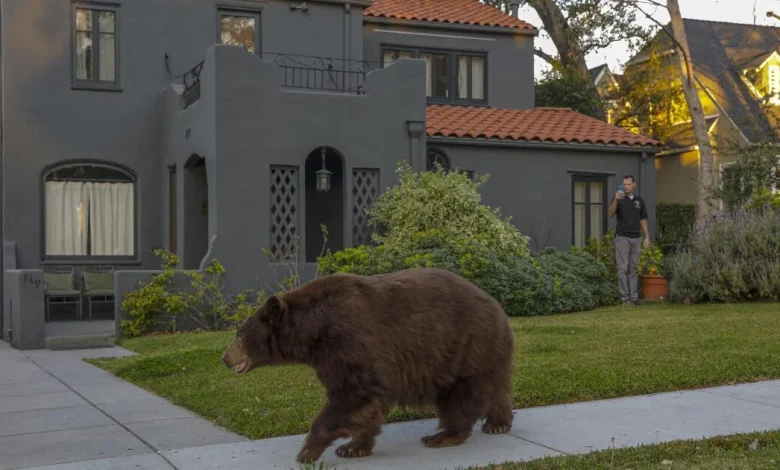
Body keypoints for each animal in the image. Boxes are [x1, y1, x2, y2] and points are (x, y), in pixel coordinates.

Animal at [221, 267, 515, 463]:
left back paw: (443, 436)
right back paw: (498, 423)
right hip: (480, 351)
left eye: (239, 334)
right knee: (495, 386)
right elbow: (365, 405)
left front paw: (307, 452)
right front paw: (352, 447)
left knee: (461, 396)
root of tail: (497, 306)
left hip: (464, 345)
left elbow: (354, 393)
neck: (314, 331)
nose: (225, 358)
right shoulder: (329, 358)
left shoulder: (350, 340)